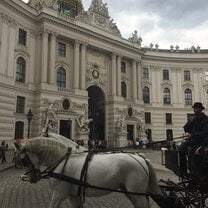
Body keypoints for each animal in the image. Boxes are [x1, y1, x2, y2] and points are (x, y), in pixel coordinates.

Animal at [15, 134, 164, 207]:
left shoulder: (59, 194)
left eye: (23, 160)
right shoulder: (73, 195)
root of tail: (142, 158)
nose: (32, 178)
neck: (62, 160)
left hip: (138, 194)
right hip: (130, 192)